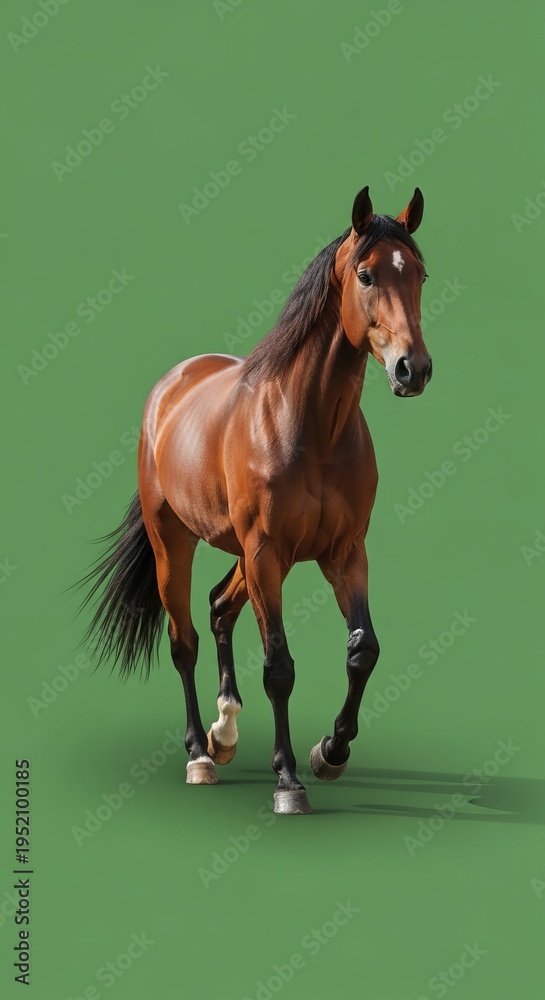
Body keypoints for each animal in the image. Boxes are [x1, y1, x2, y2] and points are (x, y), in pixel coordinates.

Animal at [81, 185, 432, 815]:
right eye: (366, 274)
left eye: (419, 274)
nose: (412, 369)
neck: (310, 425)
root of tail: (171, 386)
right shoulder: (266, 552)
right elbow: (279, 667)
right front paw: (289, 779)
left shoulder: (344, 553)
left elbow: (362, 651)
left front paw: (330, 753)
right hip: (178, 544)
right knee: (185, 640)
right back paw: (200, 755)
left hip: (256, 556)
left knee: (220, 606)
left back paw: (225, 732)